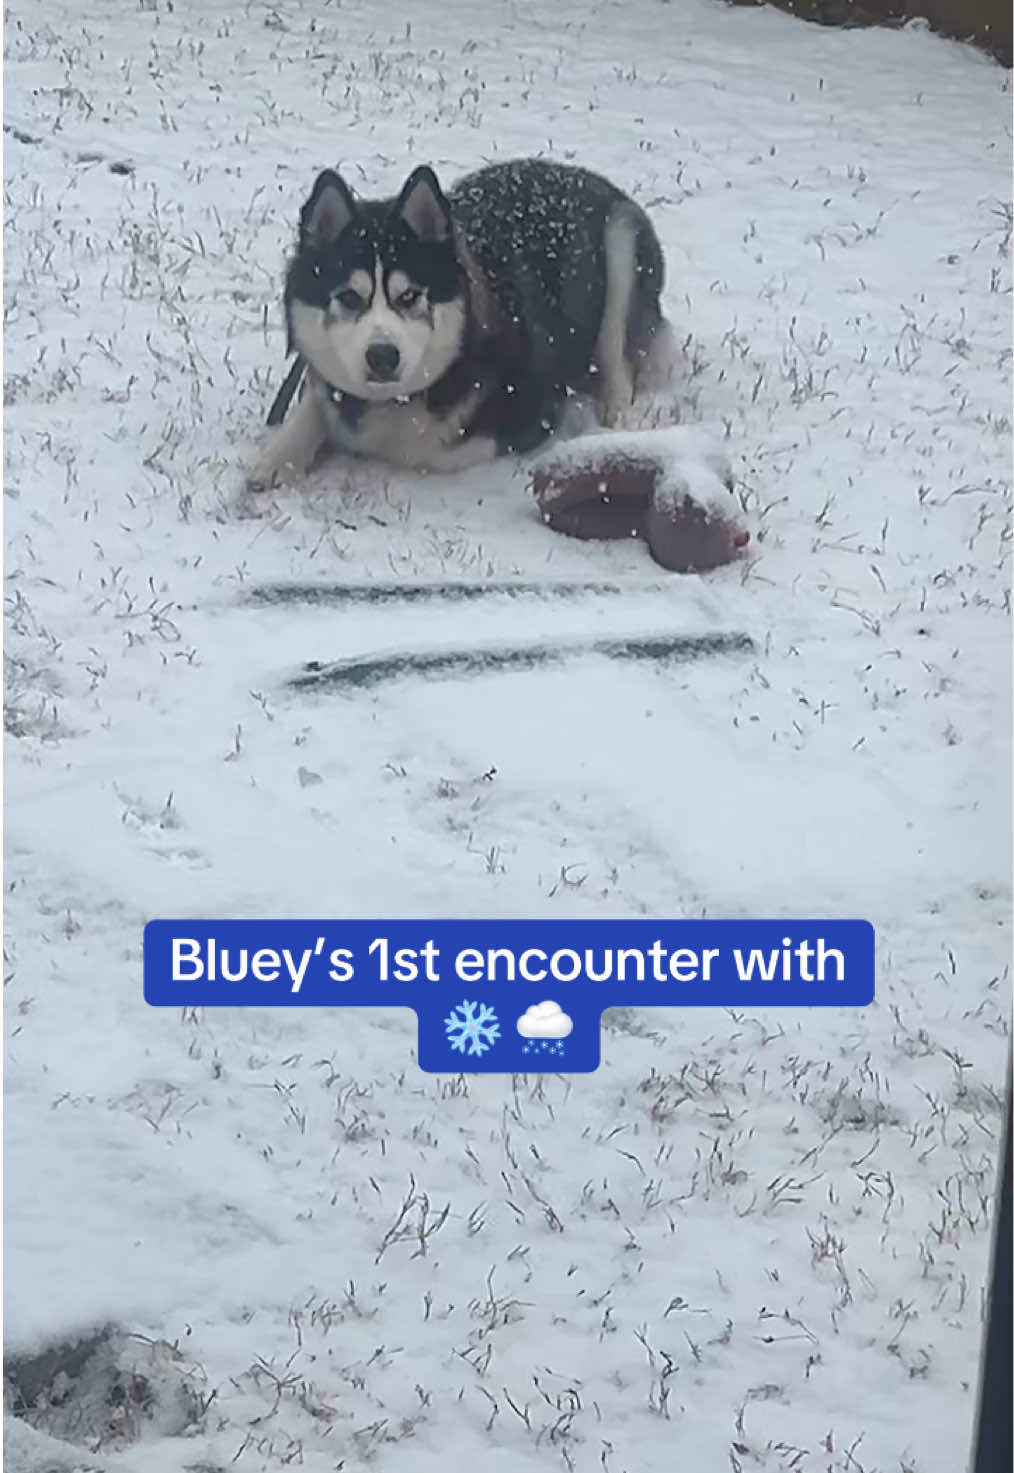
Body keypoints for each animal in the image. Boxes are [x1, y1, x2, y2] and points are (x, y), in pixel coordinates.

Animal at [249, 157, 669, 489]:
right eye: (350, 297)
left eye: (409, 296)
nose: (382, 356)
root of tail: (580, 173)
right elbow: (316, 403)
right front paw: (279, 455)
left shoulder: (537, 410)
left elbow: (420, 449)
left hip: (622, 237)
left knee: (618, 352)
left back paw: (614, 408)